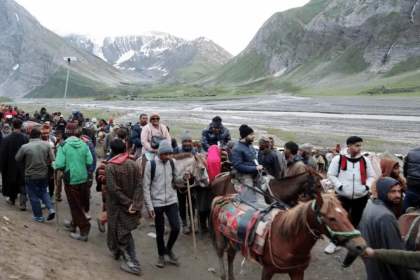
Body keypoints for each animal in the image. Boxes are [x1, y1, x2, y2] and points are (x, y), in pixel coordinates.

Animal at [212, 194, 366, 278]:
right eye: (332, 218)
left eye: (346, 214)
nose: (361, 245)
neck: (287, 240)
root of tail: (222, 198)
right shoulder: (267, 270)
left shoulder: (297, 273)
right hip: (220, 240)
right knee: (220, 254)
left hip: (232, 242)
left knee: (230, 255)